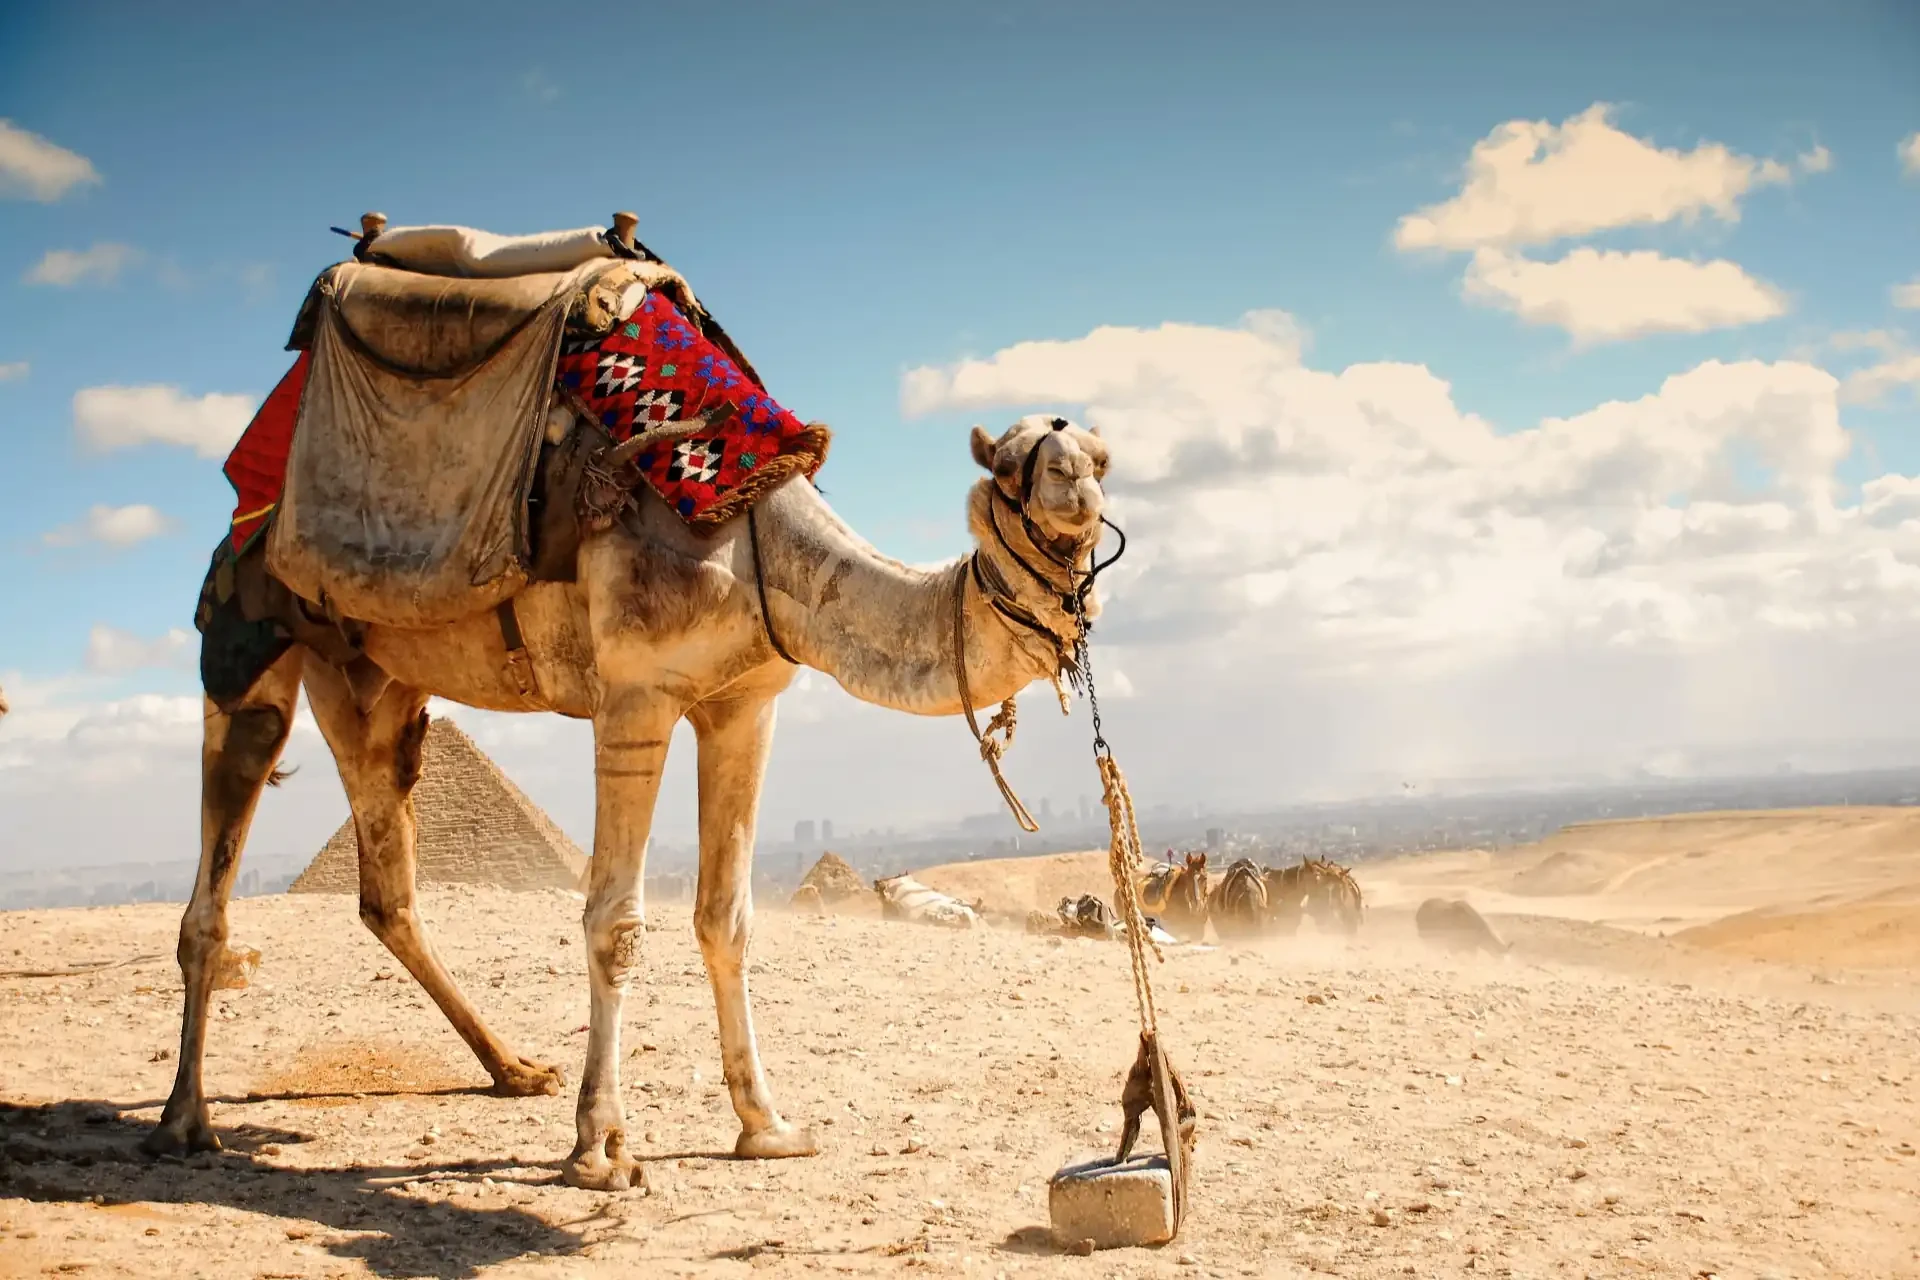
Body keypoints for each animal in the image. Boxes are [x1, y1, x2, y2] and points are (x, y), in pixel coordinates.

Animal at [144, 409, 1113, 1195]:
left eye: (1102, 451)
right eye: (1014, 466)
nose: (1076, 484)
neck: (758, 542)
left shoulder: (744, 704)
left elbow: (728, 918)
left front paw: (767, 1125)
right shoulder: (635, 697)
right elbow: (614, 922)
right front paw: (602, 1149)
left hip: (372, 684)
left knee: (387, 889)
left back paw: (512, 1069)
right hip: (249, 648)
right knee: (214, 889)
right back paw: (185, 1121)